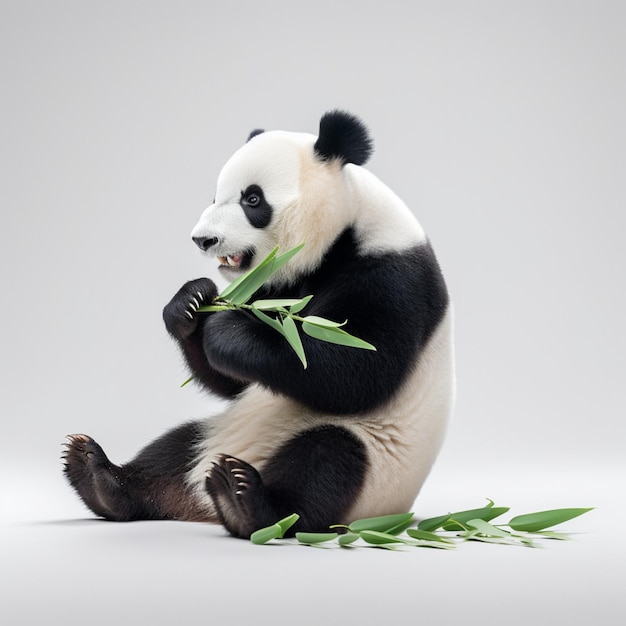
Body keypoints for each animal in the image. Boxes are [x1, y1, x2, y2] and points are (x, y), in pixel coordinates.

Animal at [63, 108, 454, 536]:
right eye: (215, 196)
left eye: (253, 199)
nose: (203, 239)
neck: (345, 229)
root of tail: (197, 506)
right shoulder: (270, 284)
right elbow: (237, 382)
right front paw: (192, 303)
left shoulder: (391, 273)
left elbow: (355, 370)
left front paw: (227, 330)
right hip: (215, 432)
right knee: (172, 448)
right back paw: (99, 476)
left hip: (373, 466)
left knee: (326, 462)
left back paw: (244, 501)